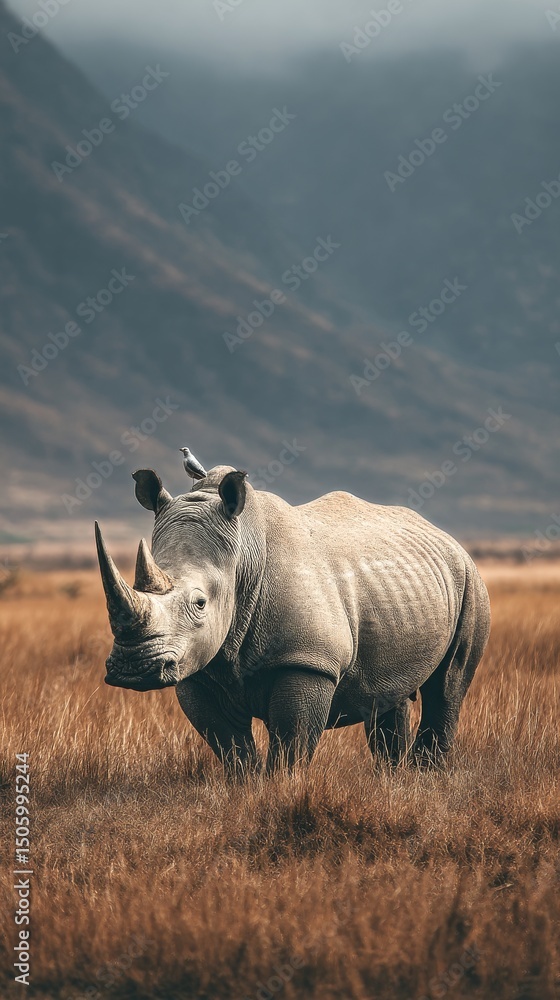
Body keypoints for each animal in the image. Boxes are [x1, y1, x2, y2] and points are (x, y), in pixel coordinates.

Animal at [95, 465, 491, 773]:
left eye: (200, 603)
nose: (133, 668)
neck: (242, 556)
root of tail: (444, 536)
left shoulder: (307, 661)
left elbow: (292, 742)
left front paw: (281, 789)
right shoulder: (198, 667)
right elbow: (229, 746)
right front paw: (246, 789)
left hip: (469, 580)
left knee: (447, 685)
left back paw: (425, 776)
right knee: (390, 694)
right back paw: (393, 778)